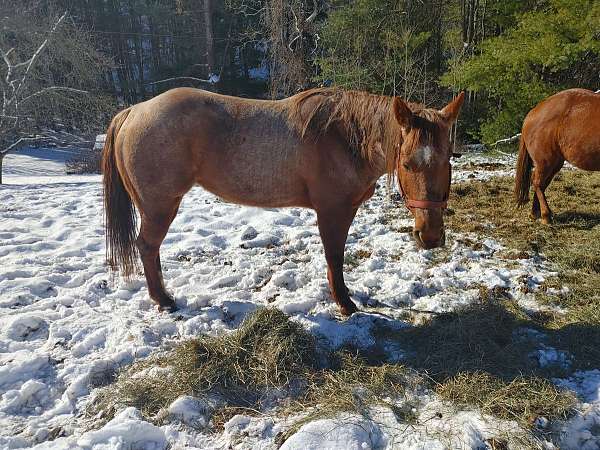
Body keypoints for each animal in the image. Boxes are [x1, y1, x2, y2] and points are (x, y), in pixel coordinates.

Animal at [102, 87, 464, 312]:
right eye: (407, 164)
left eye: (448, 159)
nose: (431, 236)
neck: (344, 138)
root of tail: (133, 111)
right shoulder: (332, 211)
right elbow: (335, 256)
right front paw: (344, 303)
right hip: (160, 206)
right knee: (147, 246)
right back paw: (163, 299)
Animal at [516, 88, 600, 223]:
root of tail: (532, 113)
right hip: (546, 161)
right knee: (537, 182)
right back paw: (546, 216)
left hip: (554, 163)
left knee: (542, 184)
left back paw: (535, 213)